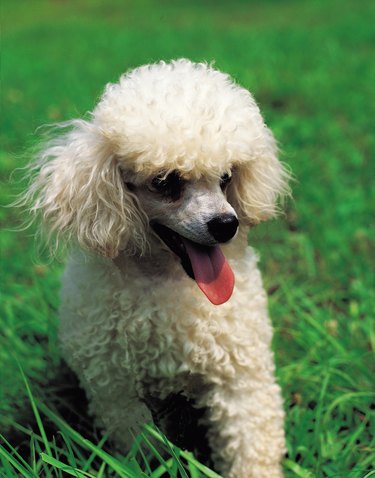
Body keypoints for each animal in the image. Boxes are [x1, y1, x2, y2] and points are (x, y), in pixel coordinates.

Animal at [23, 58, 290, 476]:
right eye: (166, 182)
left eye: (227, 177)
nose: (226, 225)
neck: (171, 279)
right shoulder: (117, 390)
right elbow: (143, 449)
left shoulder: (240, 373)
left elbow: (251, 440)